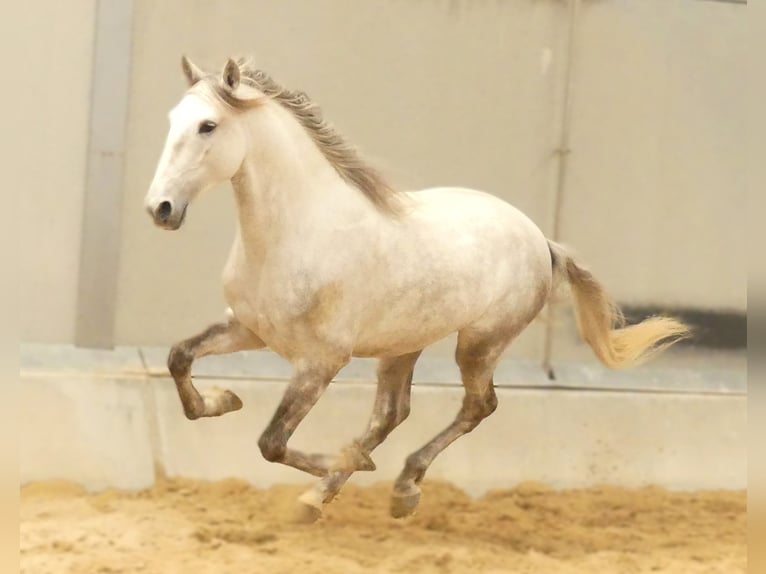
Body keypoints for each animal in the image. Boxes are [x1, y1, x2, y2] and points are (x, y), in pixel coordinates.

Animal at [144, 56, 688, 524]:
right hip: (402, 345)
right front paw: (225, 400)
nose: (160, 209)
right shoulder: (249, 329)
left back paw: (399, 487)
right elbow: (179, 359)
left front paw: (350, 462)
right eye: (172, 120)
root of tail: (540, 239)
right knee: (392, 414)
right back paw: (323, 497)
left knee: (477, 406)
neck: (299, 232)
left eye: (208, 126)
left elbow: (271, 442)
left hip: (479, 344)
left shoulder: (320, 361)